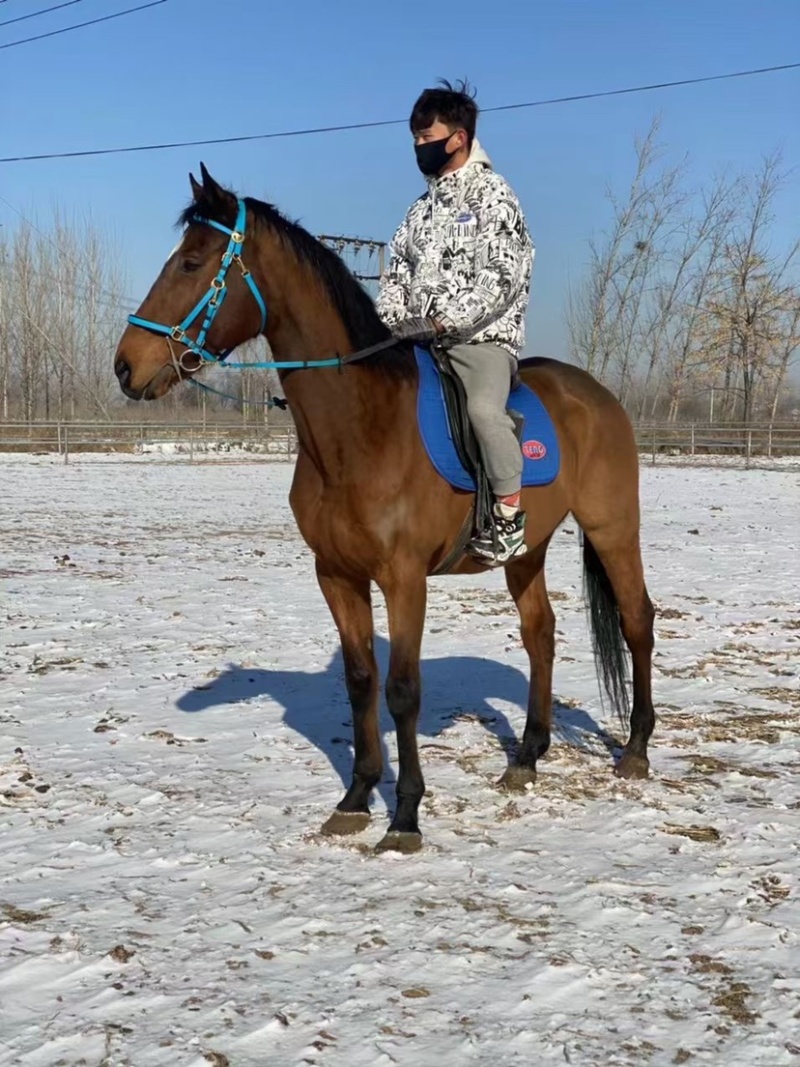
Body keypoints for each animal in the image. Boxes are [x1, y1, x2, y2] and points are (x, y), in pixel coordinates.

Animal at [114, 164, 656, 853]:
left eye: (189, 263)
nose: (126, 366)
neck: (360, 430)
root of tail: (598, 394)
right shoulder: (337, 575)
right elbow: (360, 681)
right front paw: (355, 798)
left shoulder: (404, 580)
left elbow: (402, 691)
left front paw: (405, 816)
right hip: (525, 552)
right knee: (541, 633)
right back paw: (527, 757)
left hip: (613, 529)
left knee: (637, 621)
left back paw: (635, 750)